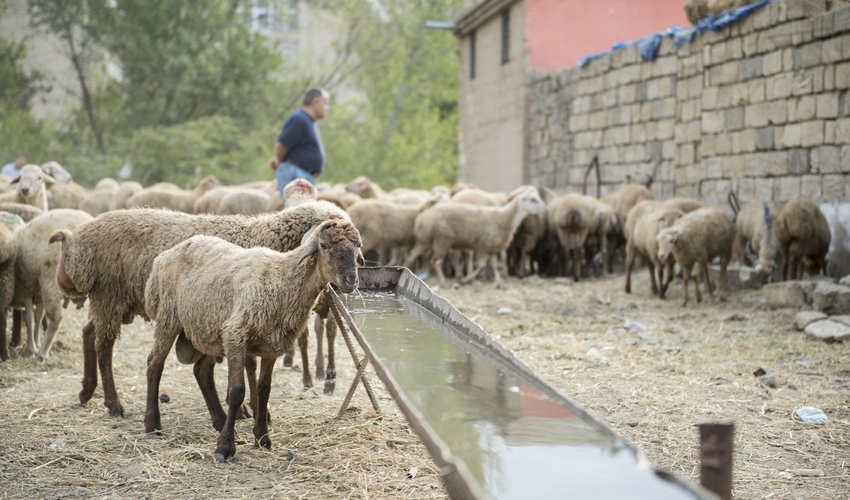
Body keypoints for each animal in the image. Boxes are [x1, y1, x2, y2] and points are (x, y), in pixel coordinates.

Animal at [12, 208, 93, 360]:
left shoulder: (27, 291)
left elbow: (29, 318)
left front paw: (32, 348)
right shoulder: (37, 294)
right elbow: (37, 317)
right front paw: (36, 343)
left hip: (51, 279)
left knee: (56, 317)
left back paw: (42, 354)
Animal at [50, 199, 348, 418]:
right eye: (326, 244)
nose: (348, 283)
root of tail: (78, 243)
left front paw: (249, 410)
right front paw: (247, 409)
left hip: (113, 300)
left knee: (89, 333)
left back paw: (87, 391)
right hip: (110, 295)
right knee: (103, 346)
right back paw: (114, 404)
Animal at [142, 221, 362, 462]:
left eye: (357, 245)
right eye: (323, 245)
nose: (351, 280)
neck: (282, 280)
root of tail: (163, 257)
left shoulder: (272, 345)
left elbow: (264, 389)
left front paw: (262, 438)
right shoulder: (236, 335)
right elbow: (237, 391)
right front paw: (224, 448)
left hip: (208, 328)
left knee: (202, 372)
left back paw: (220, 422)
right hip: (169, 316)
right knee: (154, 363)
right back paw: (152, 425)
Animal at [402, 188, 548, 286]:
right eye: (533, 200)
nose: (546, 210)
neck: (505, 217)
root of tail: (423, 216)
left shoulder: (492, 248)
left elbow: (494, 265)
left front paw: (498, 281)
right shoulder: (483, 246)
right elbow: (482, 265)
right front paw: (467, 279)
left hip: (425, 240)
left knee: (413, 255)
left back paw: (406, 269)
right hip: (442, 240)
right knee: (436, 261)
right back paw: (444, 281)